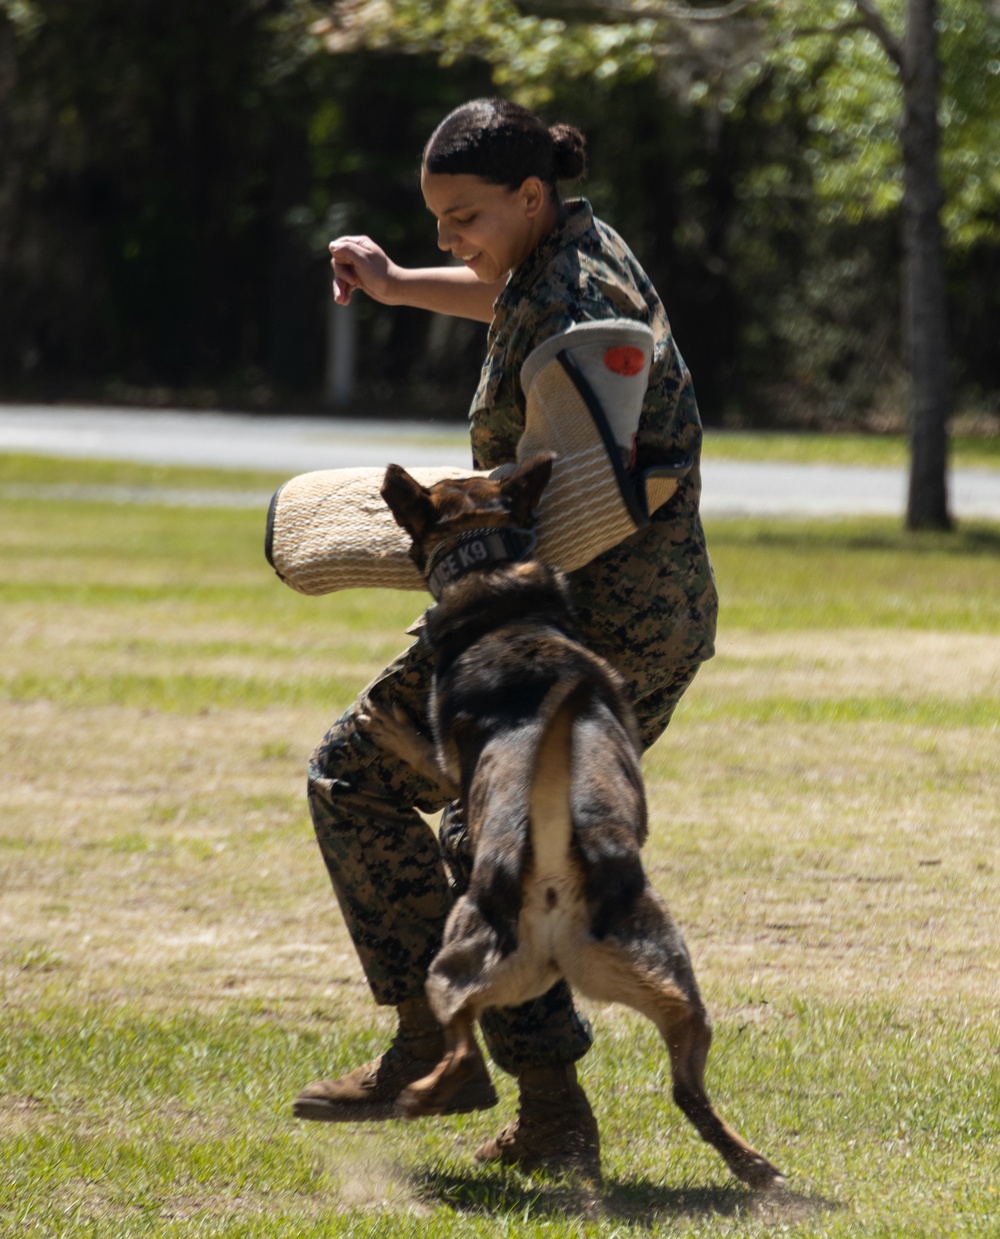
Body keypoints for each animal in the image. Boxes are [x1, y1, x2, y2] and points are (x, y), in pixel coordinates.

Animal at [371, 455, 788, 1189]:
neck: (495, 584)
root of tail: (556, 875)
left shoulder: (449, 764)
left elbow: (427, 750)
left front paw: (387, 722)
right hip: (680, 995)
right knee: (688, 1091)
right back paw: (754, 1165)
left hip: (454, 957)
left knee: (462, 1053)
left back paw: (418, 1095)